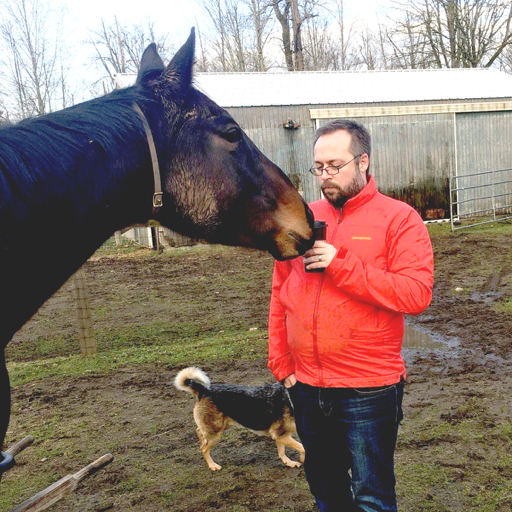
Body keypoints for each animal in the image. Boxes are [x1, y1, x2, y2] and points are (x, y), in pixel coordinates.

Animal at [174, 366, 306, 470]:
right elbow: (302, 448)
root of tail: (204, 390)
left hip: (220, 426)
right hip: (216, 433)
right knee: (203, 448)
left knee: (199, 432)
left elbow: (282, 451)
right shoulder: (281, 434)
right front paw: (302, 459)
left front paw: (289, 462)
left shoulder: (279, 435)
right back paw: (212, 465)